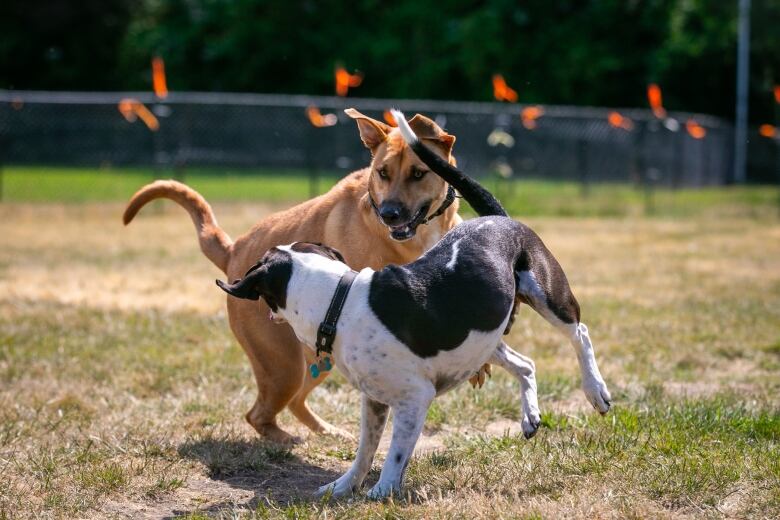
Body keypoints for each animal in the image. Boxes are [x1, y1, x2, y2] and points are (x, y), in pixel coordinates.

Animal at [120, 108, 464, 442]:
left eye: (418, 173)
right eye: (382, 172)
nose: (389, 214)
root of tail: (233, 252)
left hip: (315, 361)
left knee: (295, 401)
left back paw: (325, 430)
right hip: (283, 366)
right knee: (259, 413)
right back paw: (284, 439)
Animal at [216, 110, 612, 500]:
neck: (338, 300)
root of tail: (499, 218)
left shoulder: (413, 398)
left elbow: (395, 453)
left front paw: (382, 491)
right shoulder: (374, 399)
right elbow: (364, 450)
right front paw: (343, 486)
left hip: (547, 294)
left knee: (580, 333)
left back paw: (596, 391)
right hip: (482, 338)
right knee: (525, 364)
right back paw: (530, 415)